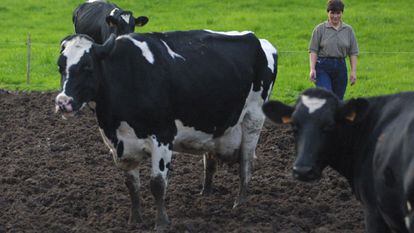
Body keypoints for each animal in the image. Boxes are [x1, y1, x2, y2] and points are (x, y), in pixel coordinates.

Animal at [55, 30, 278, 228]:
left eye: (87, 66)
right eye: (60, 67)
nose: (63, 102)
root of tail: (259, 39)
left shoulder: (162, 136)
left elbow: (157, 183)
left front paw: (161, 222)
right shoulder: (120, 145)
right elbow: (132, 185)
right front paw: (135, 220)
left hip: (253, 119)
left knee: (246, 163)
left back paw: (240, 203)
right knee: (210, 161)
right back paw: (205, 194)